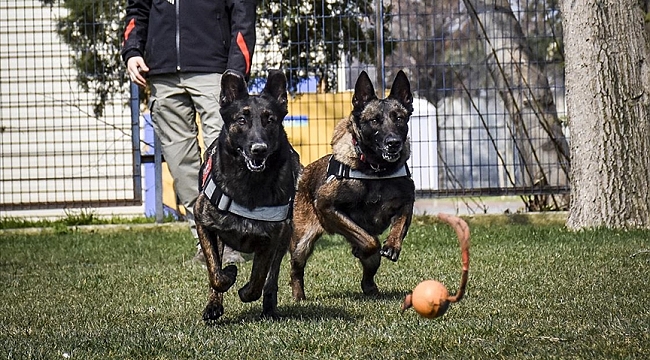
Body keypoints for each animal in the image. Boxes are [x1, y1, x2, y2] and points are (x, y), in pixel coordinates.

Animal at [192, 69, 302, 320]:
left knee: (271, 279)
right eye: (241, 120)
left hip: (284, 238)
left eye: (270, 120)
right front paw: (228, 276)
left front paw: (245, 292)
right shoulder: (203, 222)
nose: (259, 149)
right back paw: (213, 305)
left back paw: (269, 307)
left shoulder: (271, 237)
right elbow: (215, 273)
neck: (249, 183)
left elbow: (259, 278)